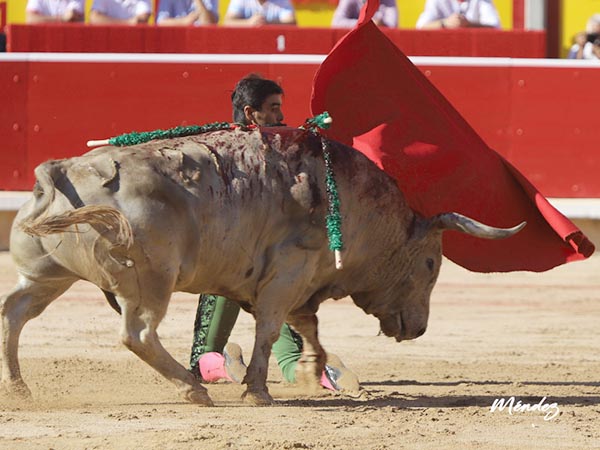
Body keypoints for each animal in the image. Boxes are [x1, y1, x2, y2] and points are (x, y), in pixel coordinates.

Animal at [0, 125, 524, 404]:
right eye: (432, 264)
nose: (418, 328)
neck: (354, 203)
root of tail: (61, 170)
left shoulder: (301, 278)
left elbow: (306, 325)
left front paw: (315, 372)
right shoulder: (289, 271)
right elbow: (271, 330)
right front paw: (258, 390)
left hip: (47, 275)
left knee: (15, 312)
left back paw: (20, 389)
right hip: (151, 282)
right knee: (139, 334)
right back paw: (193, 389)